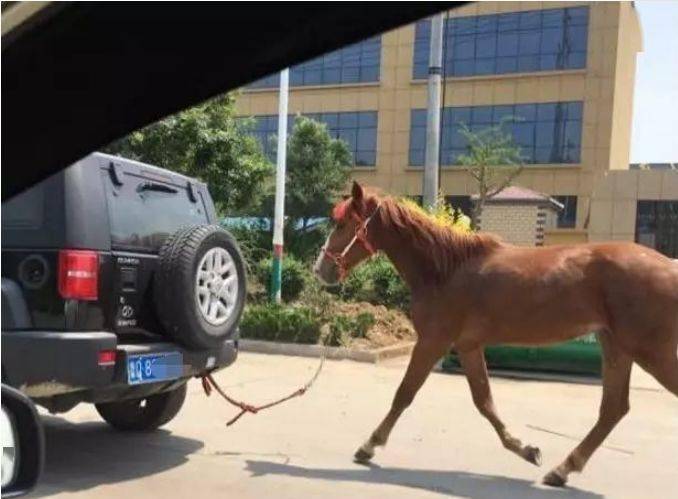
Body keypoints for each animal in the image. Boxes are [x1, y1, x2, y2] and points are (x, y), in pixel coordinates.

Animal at [316, 183, 678, 488]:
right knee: (613, 409)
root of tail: (671, 267)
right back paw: (561, 470)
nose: (321, 269)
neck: (445, 270)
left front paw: (368, 446)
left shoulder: (433, 341)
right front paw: (526, 449)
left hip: (649, 351)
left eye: (342, 224)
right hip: (616, 346)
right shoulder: (467, 346)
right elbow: (484, 401)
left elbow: (404, 393)